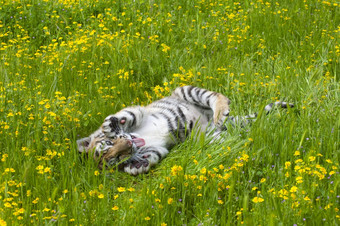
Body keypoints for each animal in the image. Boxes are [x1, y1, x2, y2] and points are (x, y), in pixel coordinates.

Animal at [77, 85, 292, 176]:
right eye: (116, 158)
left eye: (110, 144)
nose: (128, 145)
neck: (141, 138)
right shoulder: (159, 147)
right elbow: (152, 154)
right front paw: (136, 166)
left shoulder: (140, 110)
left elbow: (128, 115)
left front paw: (112, 124)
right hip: (209, 137)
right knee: (231, 139)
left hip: (187, 91)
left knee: (217, 96)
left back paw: (221, 112)